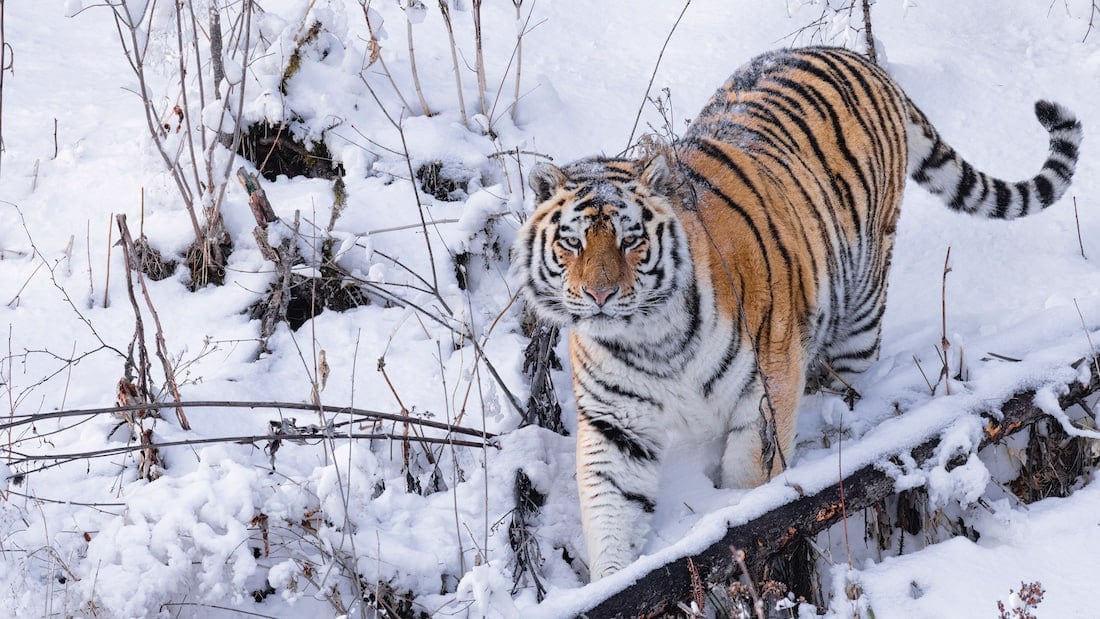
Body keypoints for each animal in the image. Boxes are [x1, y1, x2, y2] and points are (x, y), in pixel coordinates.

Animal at [510, 44, 1078, 580]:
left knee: (849, 379)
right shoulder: (615, 424)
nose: (600, 295)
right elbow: (612, 513)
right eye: (572, 242)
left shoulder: (767, 382)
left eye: (631, 241)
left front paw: (738, 517)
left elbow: (750, 476)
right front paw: (612, 578)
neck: (650, 339)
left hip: (860, 306)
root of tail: (859, 59)